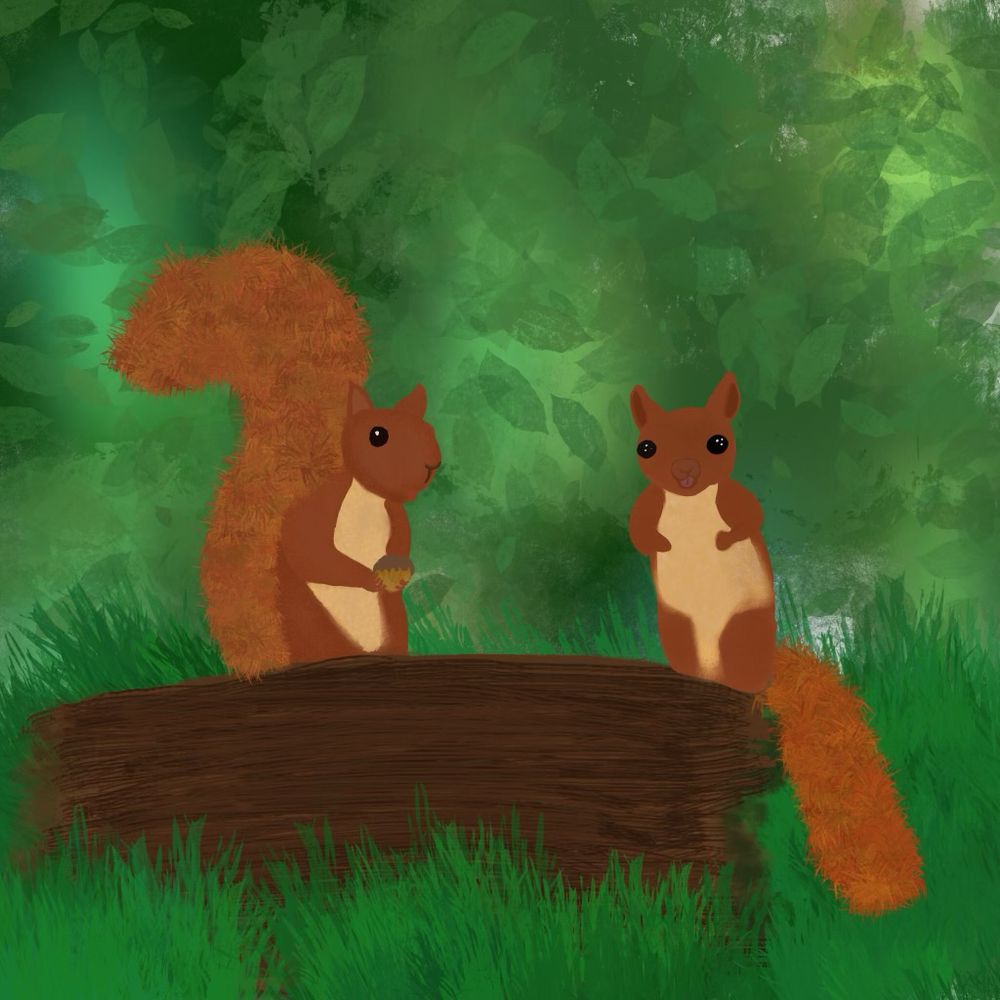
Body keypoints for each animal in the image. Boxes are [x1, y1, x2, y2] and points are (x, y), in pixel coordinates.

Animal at [105, 241, 441, 678]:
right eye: (377, 436)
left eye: (428, 430)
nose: (432, 464)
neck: (365, 497)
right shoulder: (316, 509)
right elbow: (311, 553)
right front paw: (367, 577)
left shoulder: (393, 514)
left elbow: (400, 539)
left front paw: (401, 568)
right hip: (309, 620)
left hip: (391, 621)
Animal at [628, 372, 926, 916]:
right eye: (647, 447)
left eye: (718, 442)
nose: (685, 474)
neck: (690, 506)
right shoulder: (650, 506)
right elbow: (640, 528)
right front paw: (661, 544)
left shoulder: (733, 497)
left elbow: (748, 516)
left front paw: (725, 539)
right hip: (678, 628)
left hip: (742, 628)